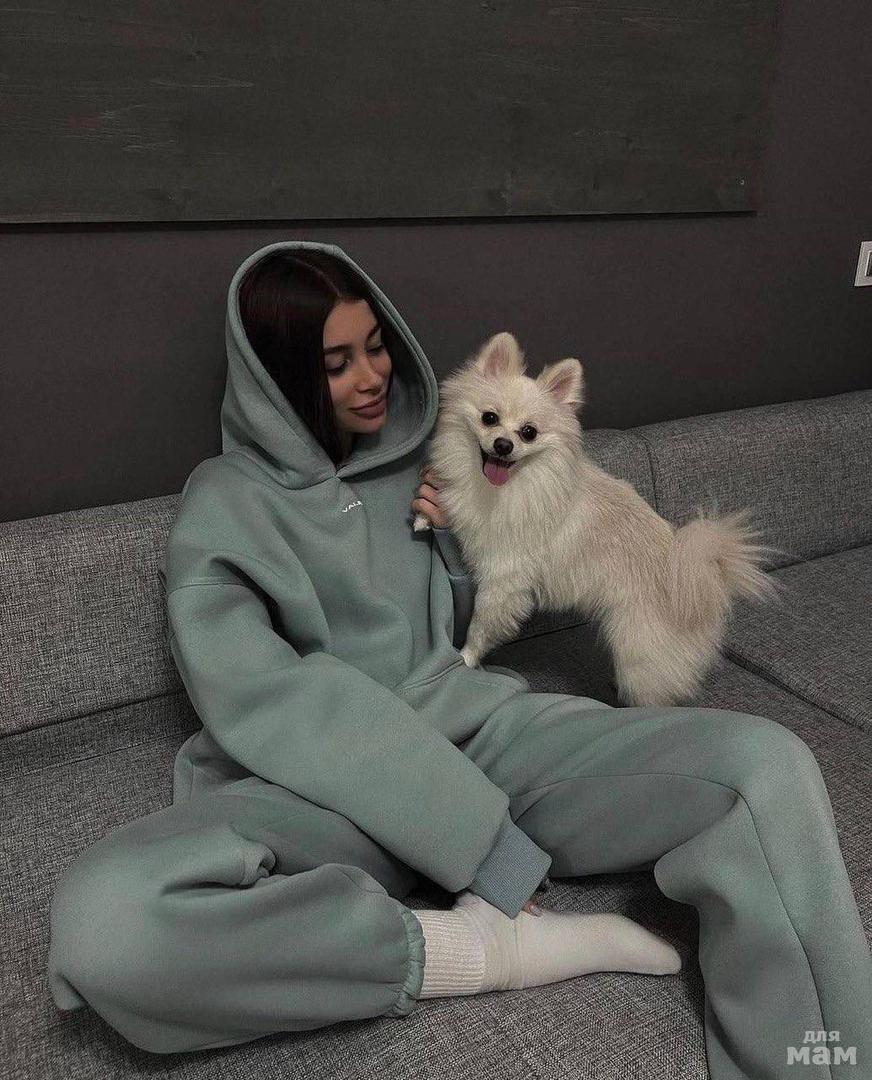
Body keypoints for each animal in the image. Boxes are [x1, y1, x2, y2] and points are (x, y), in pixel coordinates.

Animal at [413, 331, 786, 707]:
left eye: (529, 432)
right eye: (489, 418)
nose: (503, 445)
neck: (509, 483)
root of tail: (706, 576)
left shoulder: (504, 581)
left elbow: (480, 626)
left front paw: (464, 658)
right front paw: (423, 520)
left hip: (640, 655)